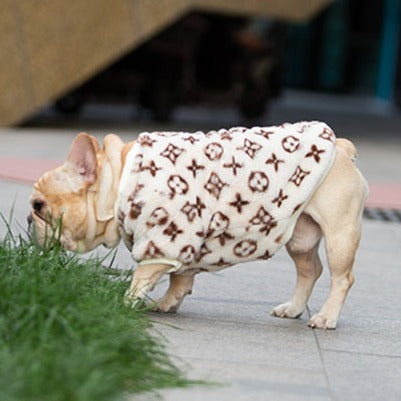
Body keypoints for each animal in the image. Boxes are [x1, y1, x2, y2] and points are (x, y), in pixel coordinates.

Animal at [29, 122, 368, 329]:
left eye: (38, 207)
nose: (29, 222)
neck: (119, 179)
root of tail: (341, 147)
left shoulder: (161, 242)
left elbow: (142, 278)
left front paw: (124, 304)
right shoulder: (182, 243)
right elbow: (180, 279)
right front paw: (167, 303)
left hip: (339, 235)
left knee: (342, 278)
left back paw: (325, 317)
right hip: (301, 236)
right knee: (310, 270)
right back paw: (294, 308)